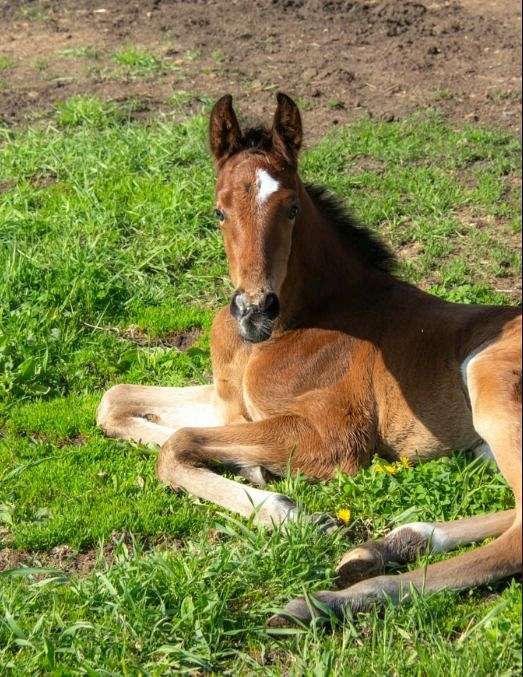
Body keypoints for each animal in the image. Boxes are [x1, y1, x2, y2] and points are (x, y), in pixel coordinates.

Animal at [97, 92, 522, 626]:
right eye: (218, 212)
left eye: (292, 208)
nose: (254, 309)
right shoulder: (228, 401)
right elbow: (116, 401)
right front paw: (250, 467)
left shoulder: (334, 437)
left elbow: (179, 442)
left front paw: (286, 509)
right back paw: (388, 546)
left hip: (490, 380)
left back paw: (329, 600)